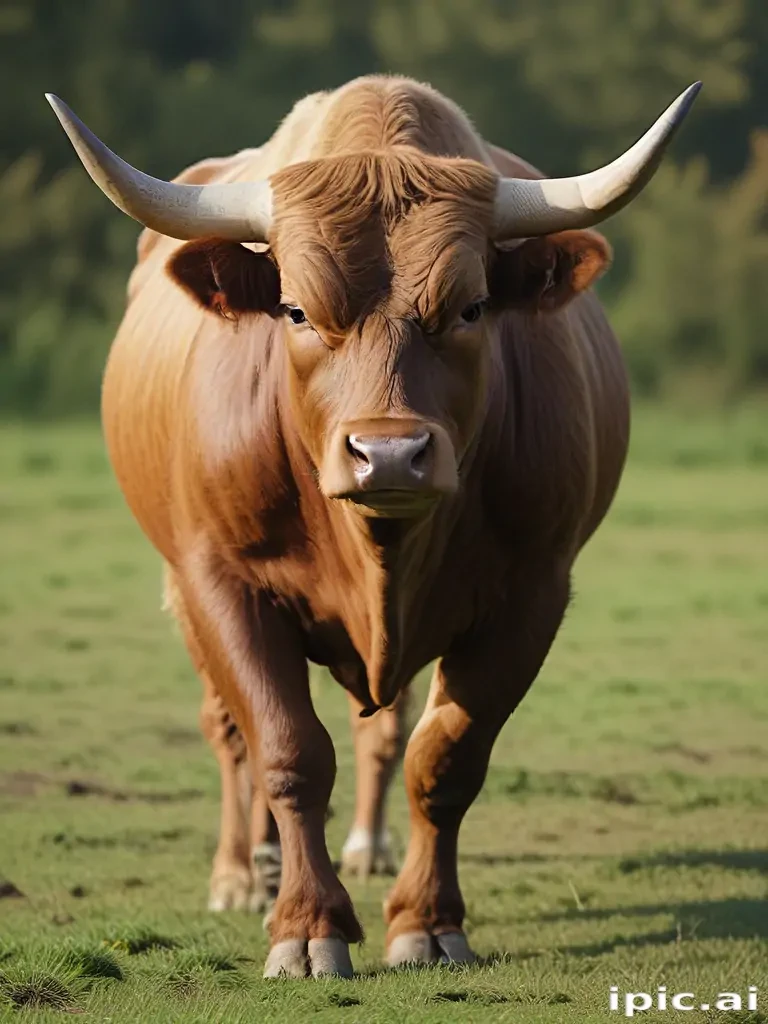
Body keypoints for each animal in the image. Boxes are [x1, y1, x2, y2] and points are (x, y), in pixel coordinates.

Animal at [48, 74, 700, 978]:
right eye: (293, 309)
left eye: (472, 307)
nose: (387, 455)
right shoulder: (222, 584)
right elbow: (286, 749)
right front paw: (305, 927)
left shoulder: (531, 594)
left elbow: (444, 758)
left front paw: (426, 923)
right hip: (182, 591)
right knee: (229, 732)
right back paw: (244, 873)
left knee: (384, 730)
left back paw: (351, 850)